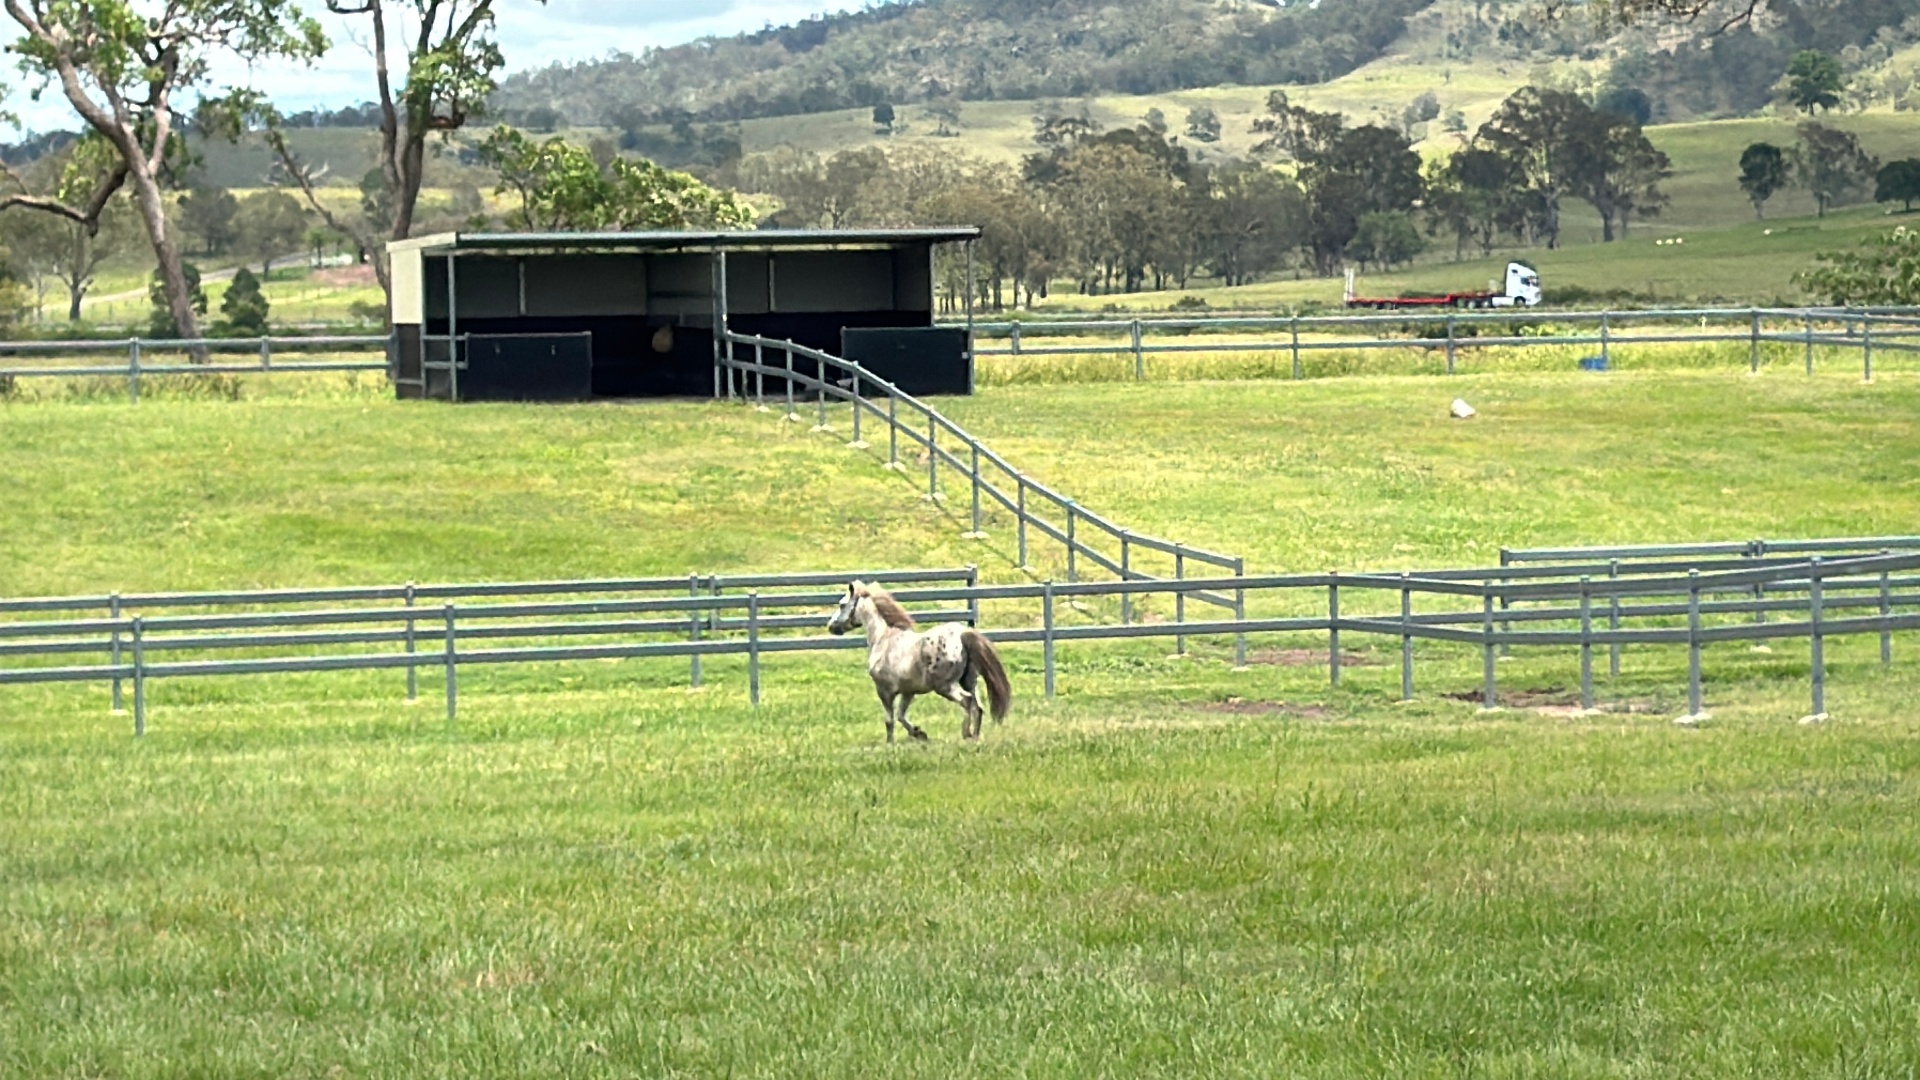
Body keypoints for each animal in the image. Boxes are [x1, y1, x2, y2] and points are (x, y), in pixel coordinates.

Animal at [826, 581, 1011, 743]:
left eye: (842, 604)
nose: (831, 626)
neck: (884, 639)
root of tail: (962, 634)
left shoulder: (884, 691)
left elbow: (889, 720)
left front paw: (890, 743)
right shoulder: (908, 691)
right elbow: (901, 716)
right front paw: (919, 734)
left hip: (945, 686)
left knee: (967, 701)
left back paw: (967, 734)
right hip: (969, 681)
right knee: (977, 707)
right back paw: (976, 737)